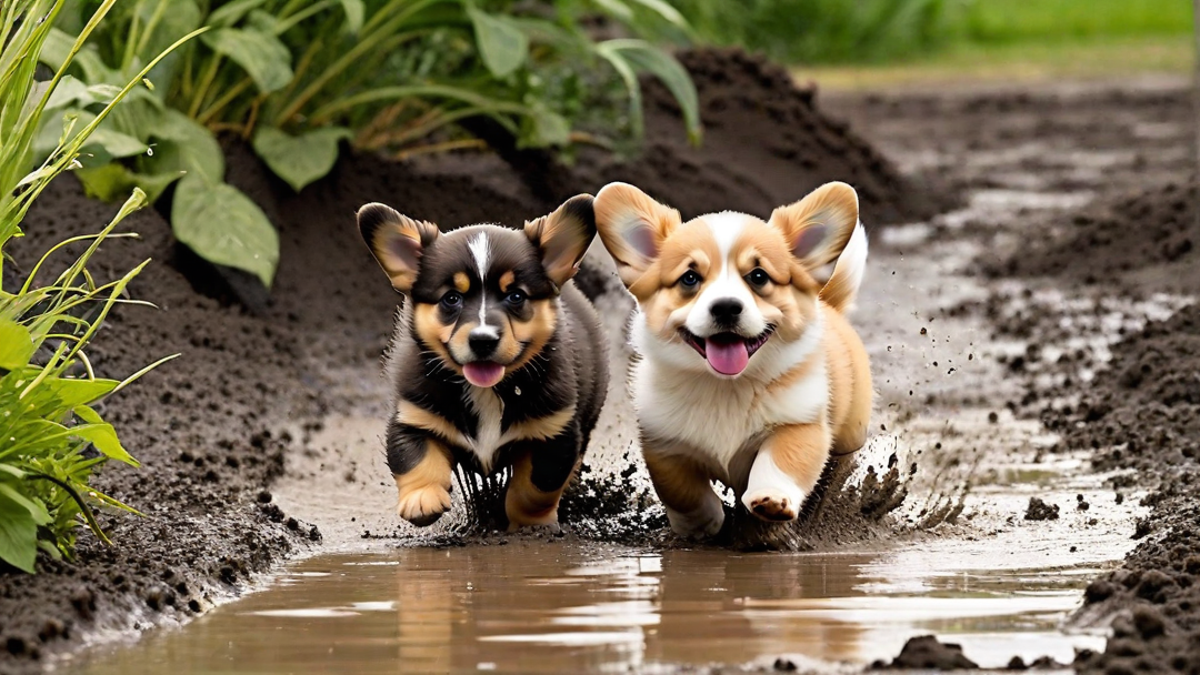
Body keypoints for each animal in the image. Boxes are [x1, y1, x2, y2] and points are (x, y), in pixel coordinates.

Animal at [355, 194, 609, 530]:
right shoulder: (414, 417)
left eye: (516, 296)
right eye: (451, 298)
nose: (483, 340)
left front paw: (528, 522)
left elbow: (534, 488)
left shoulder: (555, 433)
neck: (487, 390)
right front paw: (422, 500)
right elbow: (416, 461)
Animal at [592, 180, 868, 535]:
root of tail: (828, 305)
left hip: (850, 432)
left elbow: (782, 461)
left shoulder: (799, 423)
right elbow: (682, 491)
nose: (725, 306)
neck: (727, 387)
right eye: (690, 278)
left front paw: (771, 499)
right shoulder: (664, 444)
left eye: (759, 276)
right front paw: (704, 523)